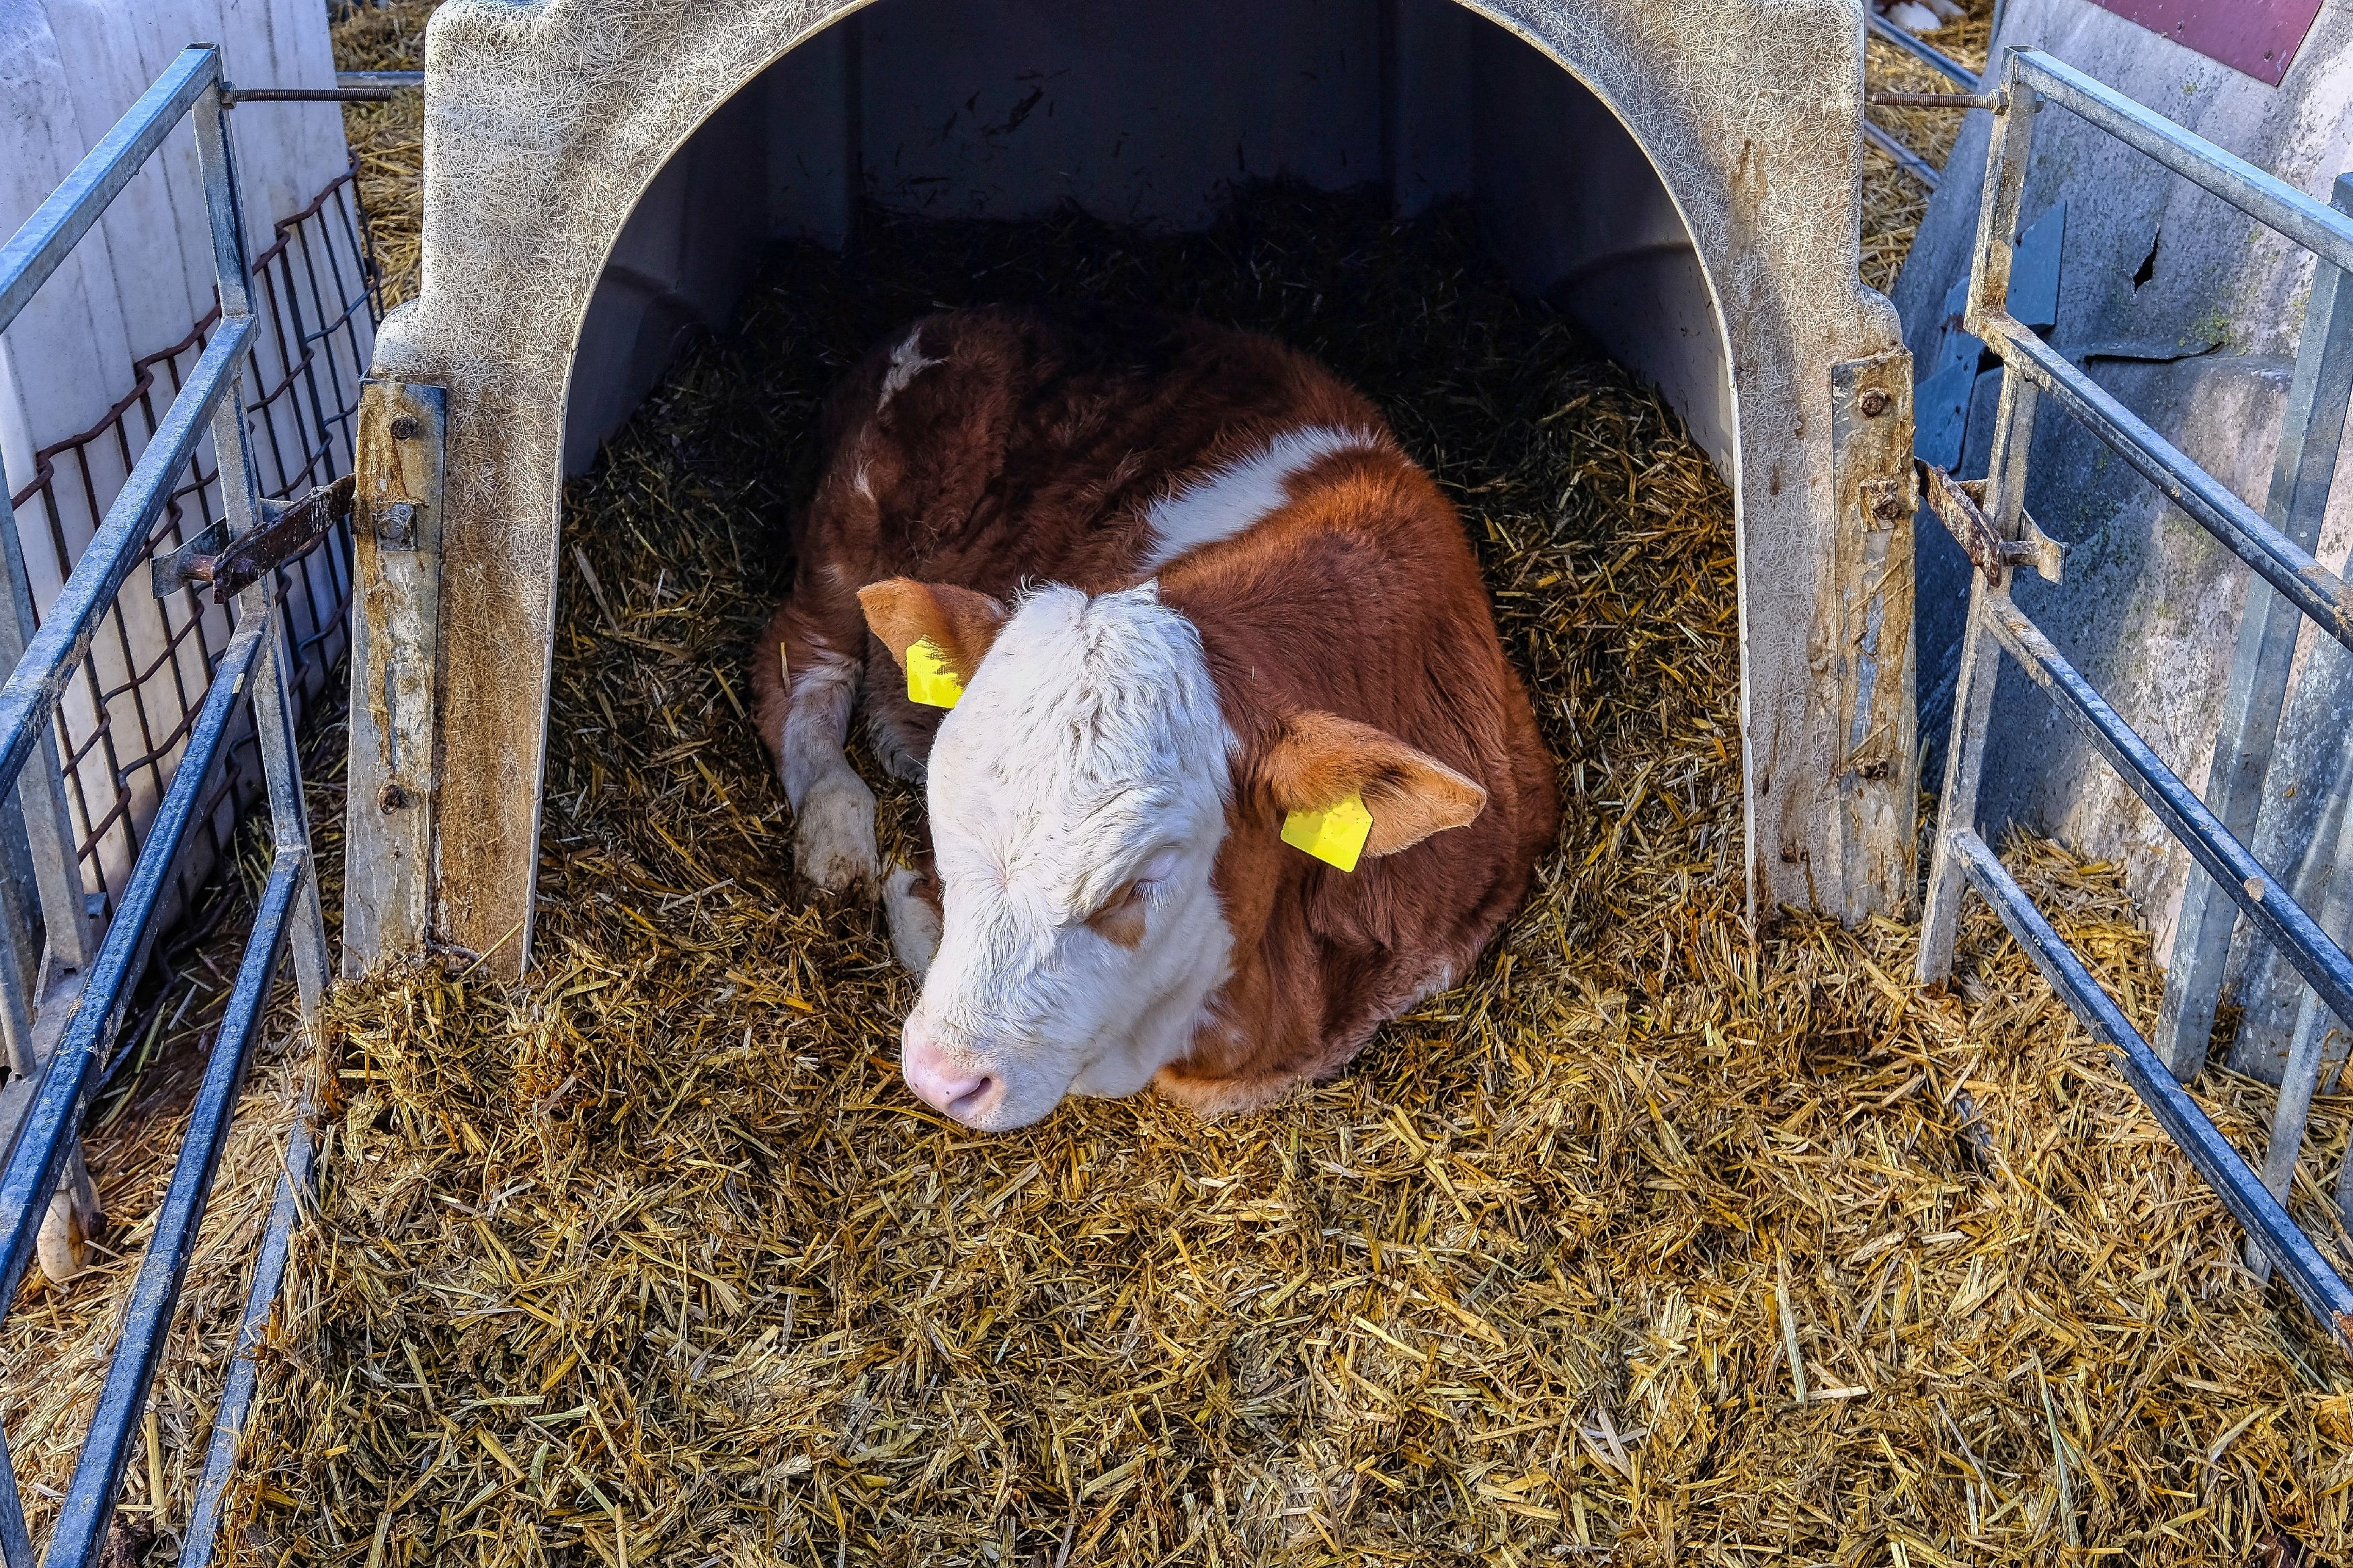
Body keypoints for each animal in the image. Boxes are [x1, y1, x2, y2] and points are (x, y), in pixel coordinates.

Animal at [753, 305, 1562, 1128]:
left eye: (1139, 882)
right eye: (942, 819)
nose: (941, 1076)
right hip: (849, 521)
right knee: (799, 662)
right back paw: (835, 826)